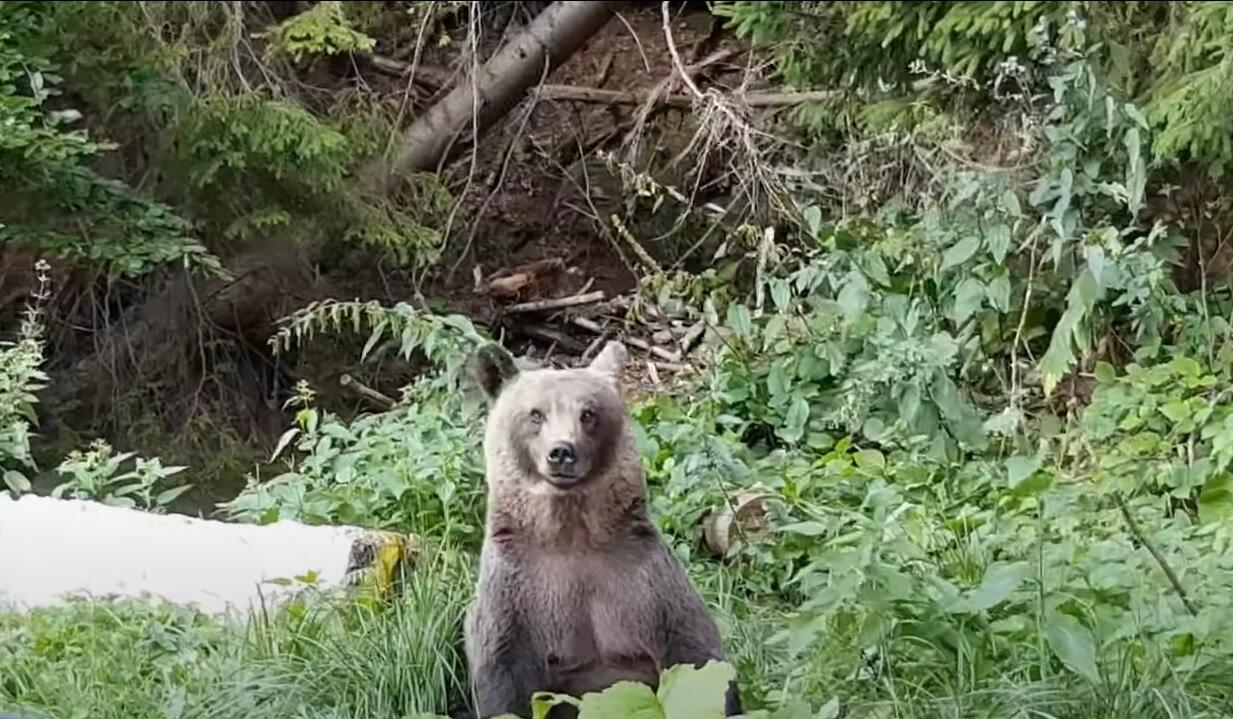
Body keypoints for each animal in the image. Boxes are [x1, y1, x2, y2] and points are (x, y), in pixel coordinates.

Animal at [463, 342, 739, 719]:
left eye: (588, 414)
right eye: (536, 414)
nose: (561, 451)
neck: (572, 534)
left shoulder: (645, 583)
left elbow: (699, 663)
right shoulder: (516, 593)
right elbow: (503, 680)